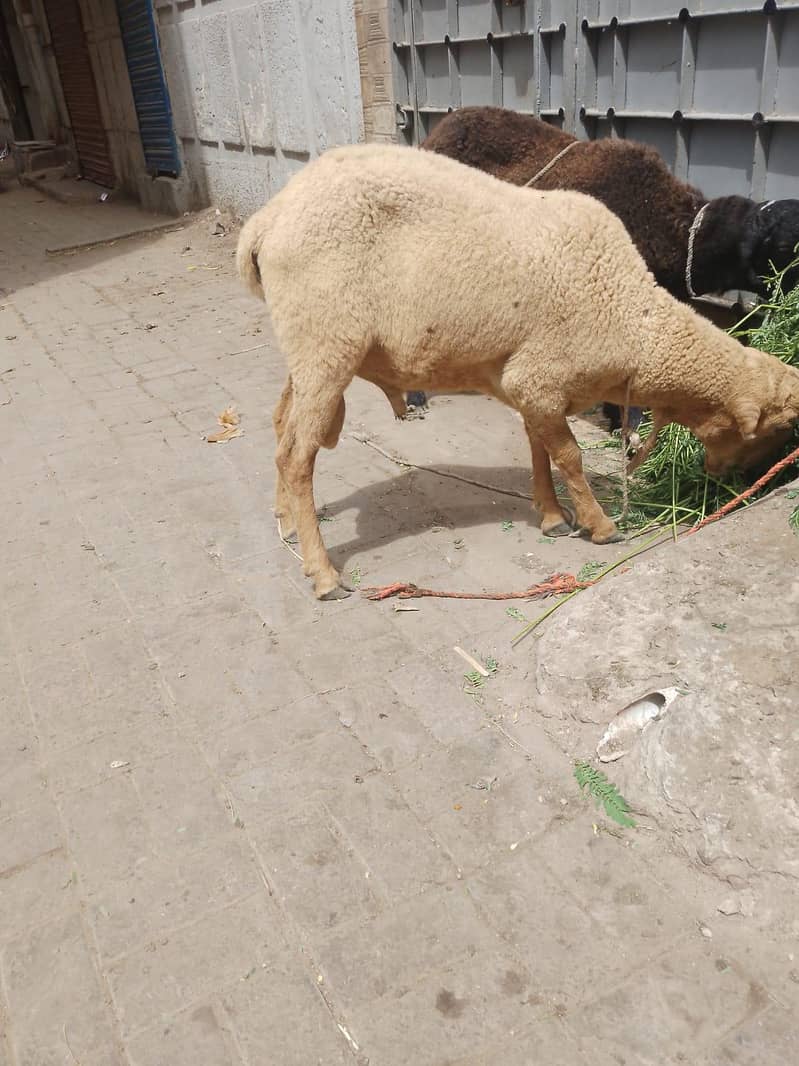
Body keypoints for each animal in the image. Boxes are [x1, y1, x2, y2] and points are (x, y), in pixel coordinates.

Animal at [236, 143, 799, 600]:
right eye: (780, 427)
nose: (747, 485)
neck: (631, 320)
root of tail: (265, 222)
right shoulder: (540, 376)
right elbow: (569, 454)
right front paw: (598, 525)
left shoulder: (526, 383)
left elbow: (539, 447)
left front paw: (551, 517)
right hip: (325, 340)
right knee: (297, 457)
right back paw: (323, 573)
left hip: (308, 347)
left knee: (281, 425)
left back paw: (287, 521)